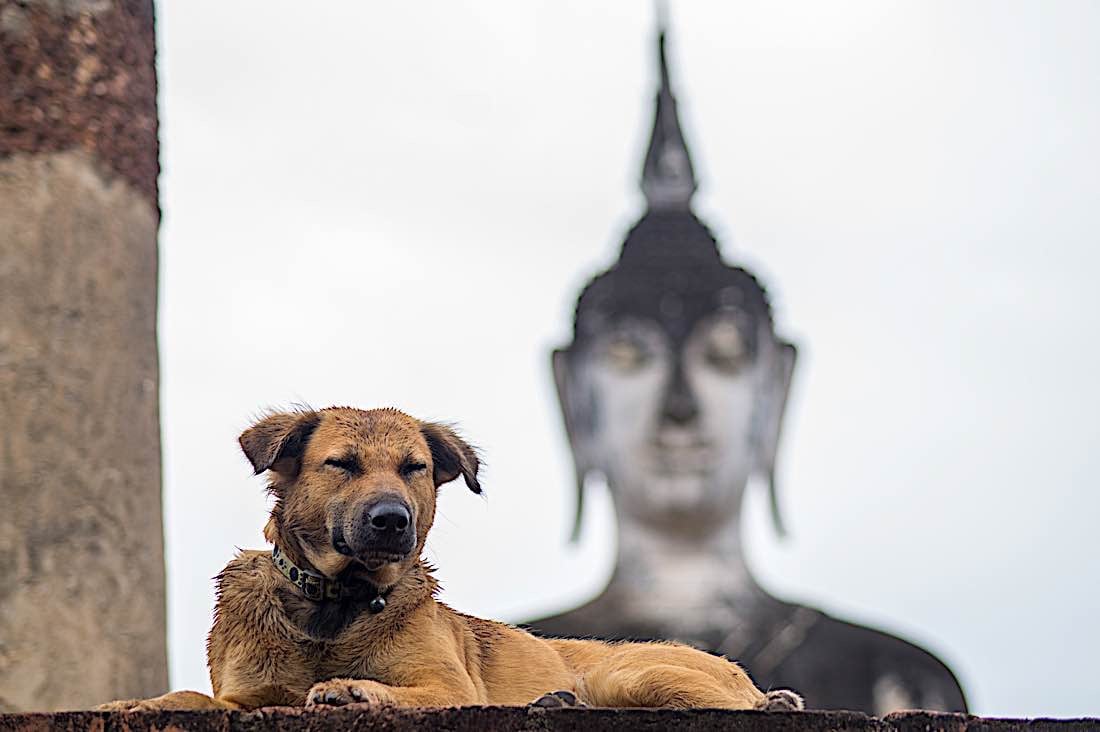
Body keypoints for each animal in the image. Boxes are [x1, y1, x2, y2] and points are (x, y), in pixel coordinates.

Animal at [99, 402, 805, 708]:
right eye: (341, 465)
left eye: (413, 467)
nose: (392, 520)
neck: (336, 603)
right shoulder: (246, 696)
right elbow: (187, 698)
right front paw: (137, 704)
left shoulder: (448, 684)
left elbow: (400, 688)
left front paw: (353, 687)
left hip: (636, 677)